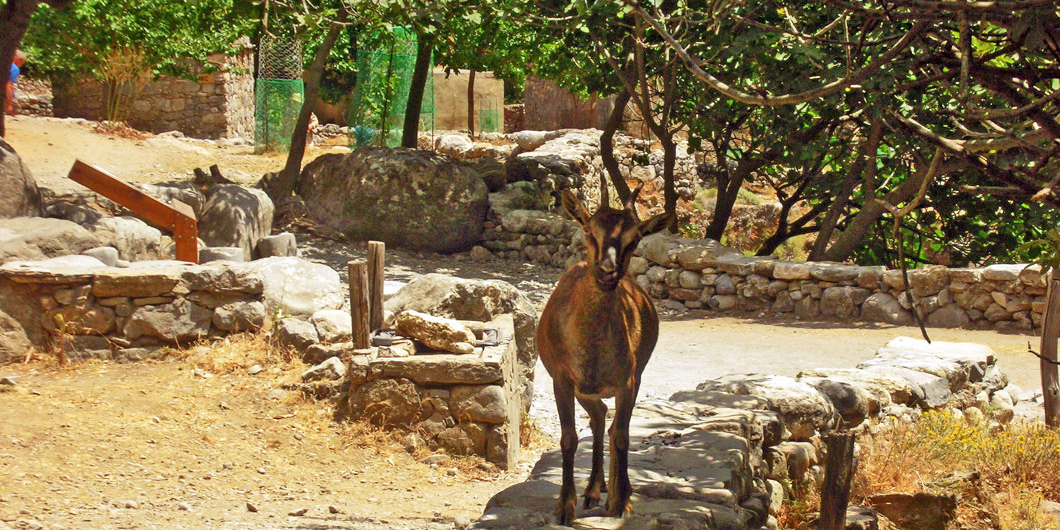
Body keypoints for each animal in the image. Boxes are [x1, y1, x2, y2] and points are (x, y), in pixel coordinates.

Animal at [534, 184, 674, 523]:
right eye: (589, 228)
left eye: (635, 238)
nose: (608, 271)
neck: (592, 357)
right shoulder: (562, 380)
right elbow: (568, 438)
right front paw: (564, 506)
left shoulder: (629, 381)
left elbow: (622, 435)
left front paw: (621, 502)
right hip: (583, 391)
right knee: (598, 415)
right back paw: (592, 489)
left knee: (606, 422)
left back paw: (611, 490)